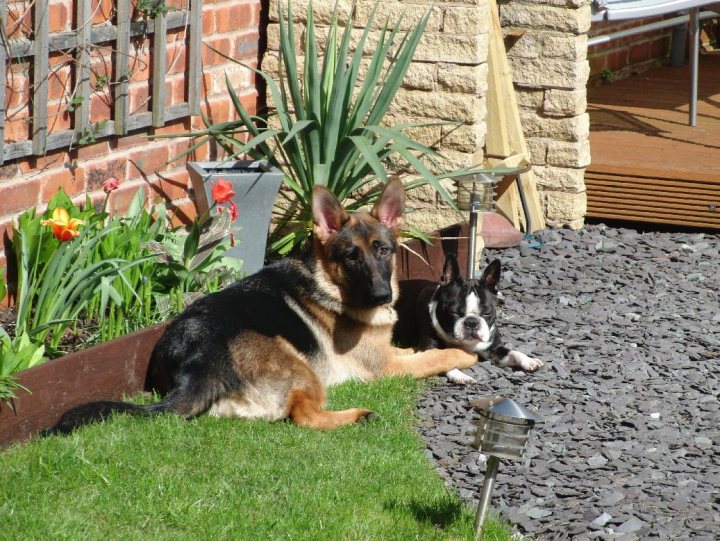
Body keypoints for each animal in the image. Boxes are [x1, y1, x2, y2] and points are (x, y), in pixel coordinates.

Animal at [49, 178, 478, 434]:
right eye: (351, 256)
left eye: (383, 251)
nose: (380, 296)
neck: (330, 281)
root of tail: (198, 364)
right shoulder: (385, 366)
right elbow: (434, 356)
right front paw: (467, 356)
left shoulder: (389, 352)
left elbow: (418, 349)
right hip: (300, 363)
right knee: (304, 417)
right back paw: (358, 415)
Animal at [396, 254, 544, 384]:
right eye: (454, 312)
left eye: (487, 313)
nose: (472, 322)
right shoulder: (429, 348)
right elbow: (443, 360)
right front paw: (460, 375)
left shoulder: (493, 349)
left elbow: (512, 352)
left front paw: (528, 360)